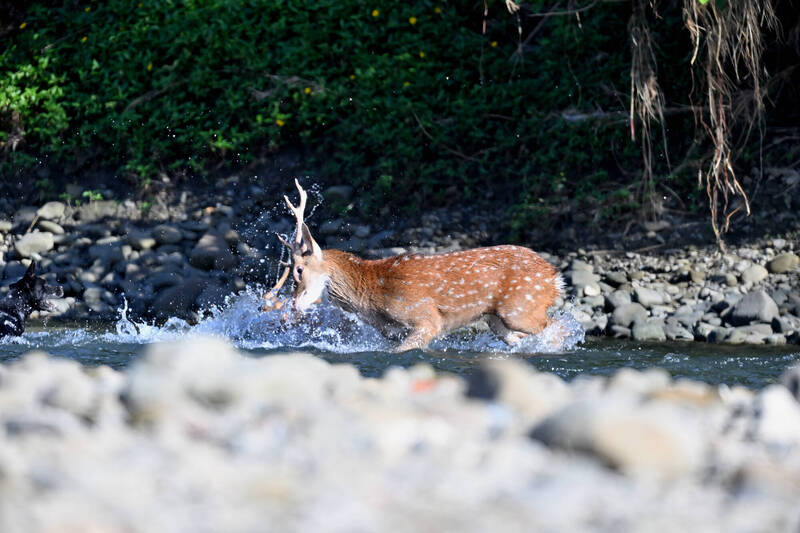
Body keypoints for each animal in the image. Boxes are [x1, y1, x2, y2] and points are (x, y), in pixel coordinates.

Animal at [266, 181, 564, 352]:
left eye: (299, 270)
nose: (294, 304)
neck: (371, 295)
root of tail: (554, 276)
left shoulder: (424, 316)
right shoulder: (392, 332)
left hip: (519, 307)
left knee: (559, 328)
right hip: (495, 318)